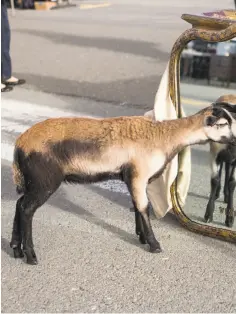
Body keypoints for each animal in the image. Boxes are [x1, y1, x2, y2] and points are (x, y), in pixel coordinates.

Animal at [9, 103, 236, 264]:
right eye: (223, 124)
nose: (234, 141)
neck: (165, 136)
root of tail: (20, 144)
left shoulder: (132, 177)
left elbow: (137, 206)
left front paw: (141, 237)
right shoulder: (138, 174)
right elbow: (144, 207)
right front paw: (154, 244)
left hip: (34, 181)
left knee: (20, 204)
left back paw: (15, 248)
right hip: (45, 180)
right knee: (27, 208)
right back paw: (30, 255)